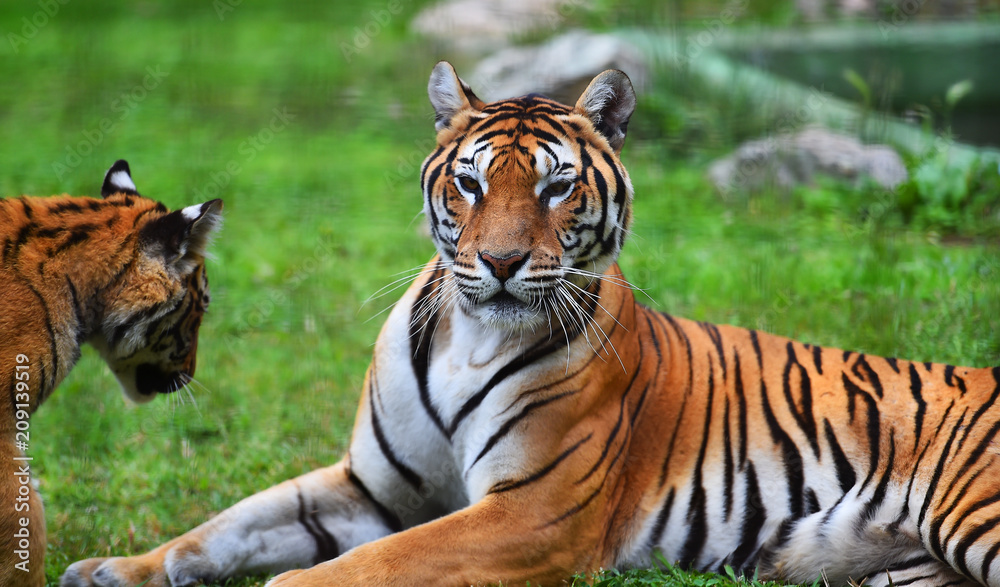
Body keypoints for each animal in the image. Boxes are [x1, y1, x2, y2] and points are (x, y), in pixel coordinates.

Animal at [62, 63, 1000, 587]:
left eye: (556, 187)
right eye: (471, 184)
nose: (504, 261)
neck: (471, 337)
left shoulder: (535, 509)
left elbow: (372, 565)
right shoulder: (371, 486)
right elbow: (225, 525)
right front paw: (114, 568)